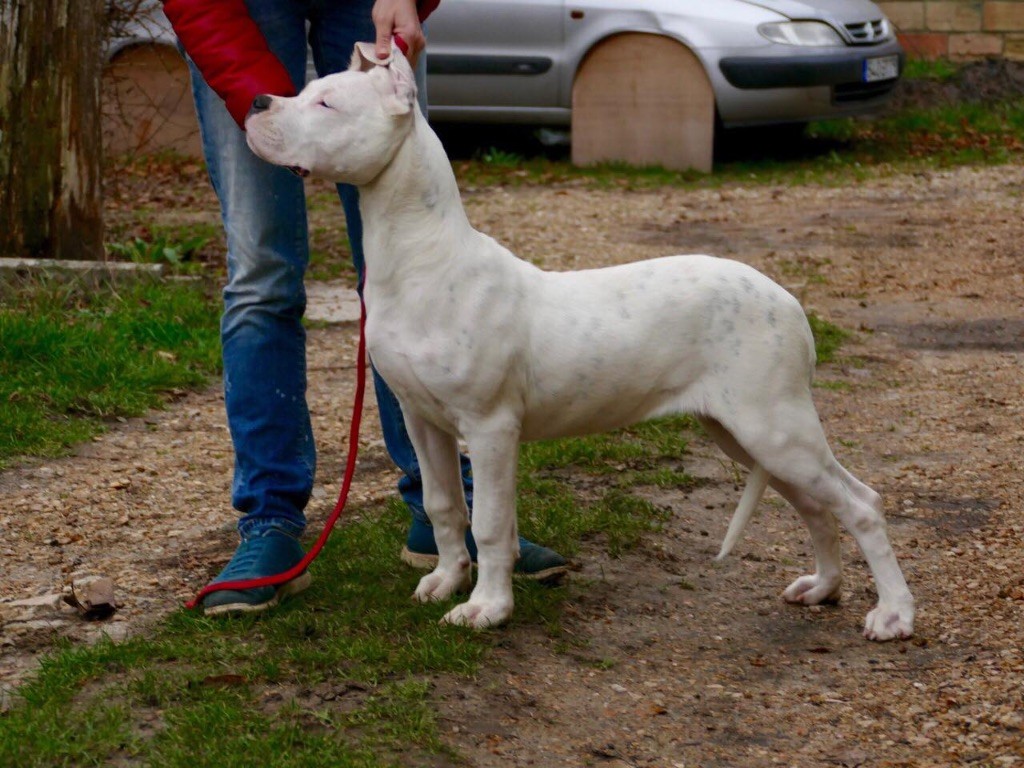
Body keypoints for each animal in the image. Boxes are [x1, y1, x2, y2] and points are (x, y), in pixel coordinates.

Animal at [244, 42, 915, 641]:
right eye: (306, 90)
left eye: (326, 103)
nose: (256, 100)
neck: (421, 257)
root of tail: (790, 302)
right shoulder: (422, 419)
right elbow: (443, 507)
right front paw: (446, 580)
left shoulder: (490, 428)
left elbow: (490, 523)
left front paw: (487, 608)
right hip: (746, 432)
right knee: (816, 506)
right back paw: (822, 587)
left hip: (775, 426)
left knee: (860, 503)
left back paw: (894, 616)